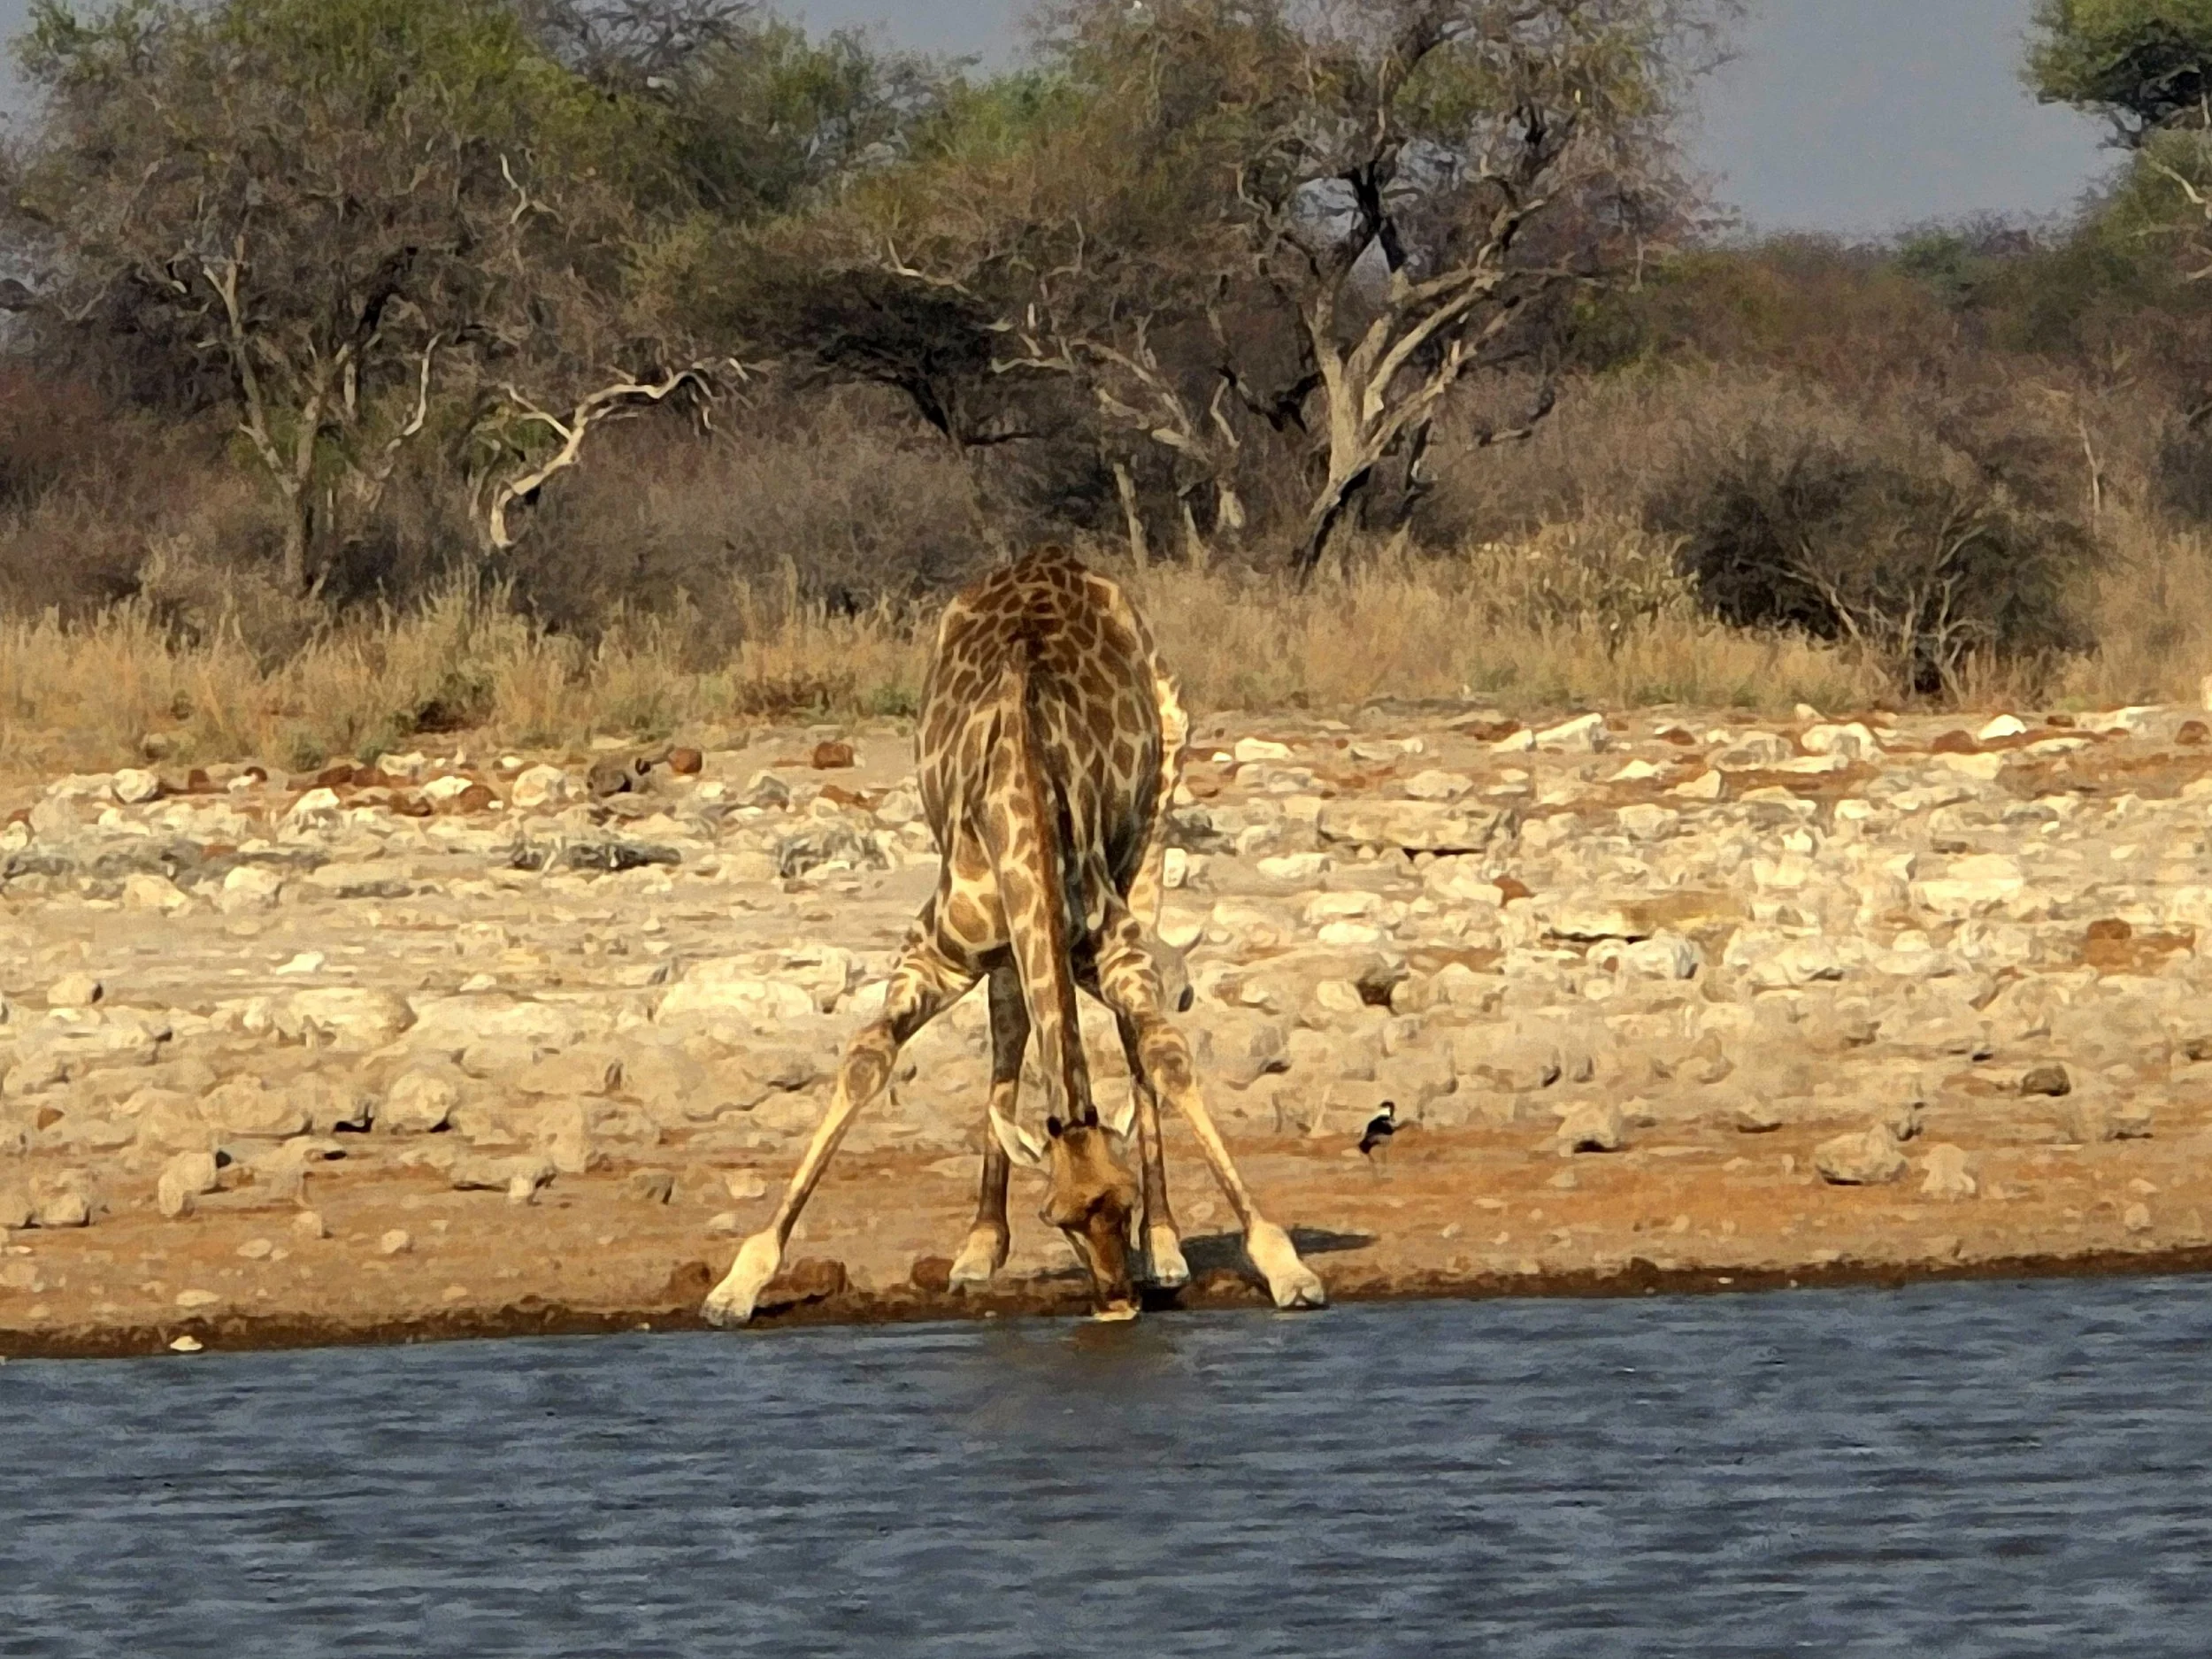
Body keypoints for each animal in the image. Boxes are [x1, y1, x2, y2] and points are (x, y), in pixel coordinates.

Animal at [702, 547, 1326, 1325]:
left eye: (1122, 1201)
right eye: (1057, 1217)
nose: (1117, 1303)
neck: (1022, 789)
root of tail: (1053, 555)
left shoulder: (1115, 948)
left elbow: (1162, 1052)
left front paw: (1280, 1263)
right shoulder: (933, 952)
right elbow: (868, 1059)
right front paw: (738, 1282)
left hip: (1156, 817)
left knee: (1113, 1024)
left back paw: (1166, 1247)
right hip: (1003, 942)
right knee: (1009, 1023)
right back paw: (977, 1246)